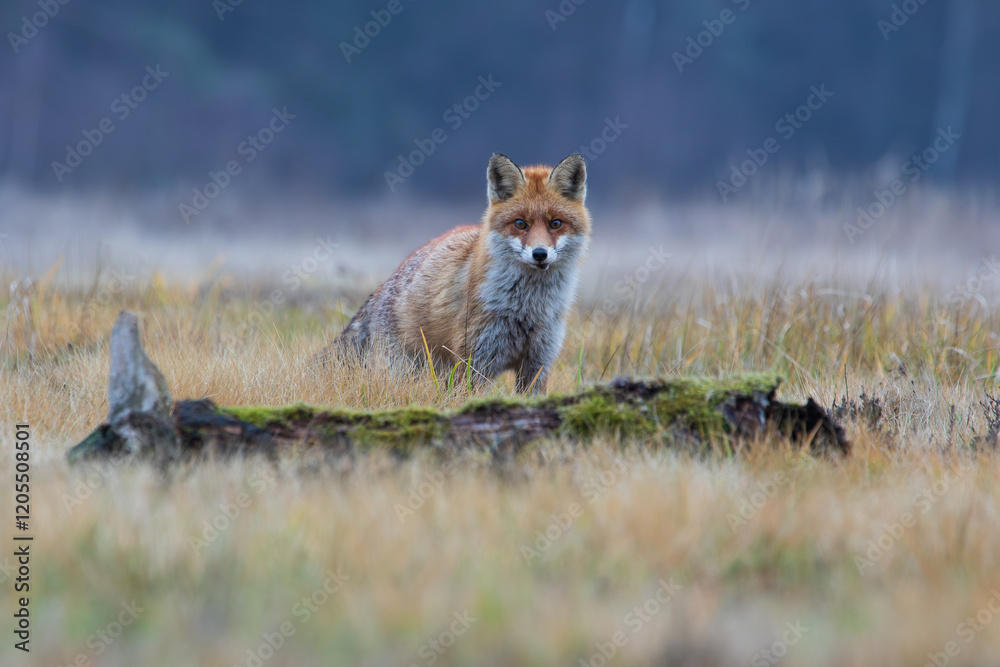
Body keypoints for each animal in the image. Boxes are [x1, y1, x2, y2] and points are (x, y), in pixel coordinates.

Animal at [329, 153, 592, 393]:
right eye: (520, 224)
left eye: (555, 224)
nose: (539, 254)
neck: (528, 309)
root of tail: (381, 289)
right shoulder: (475, 359)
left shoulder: (537, 363)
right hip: (404, 370)